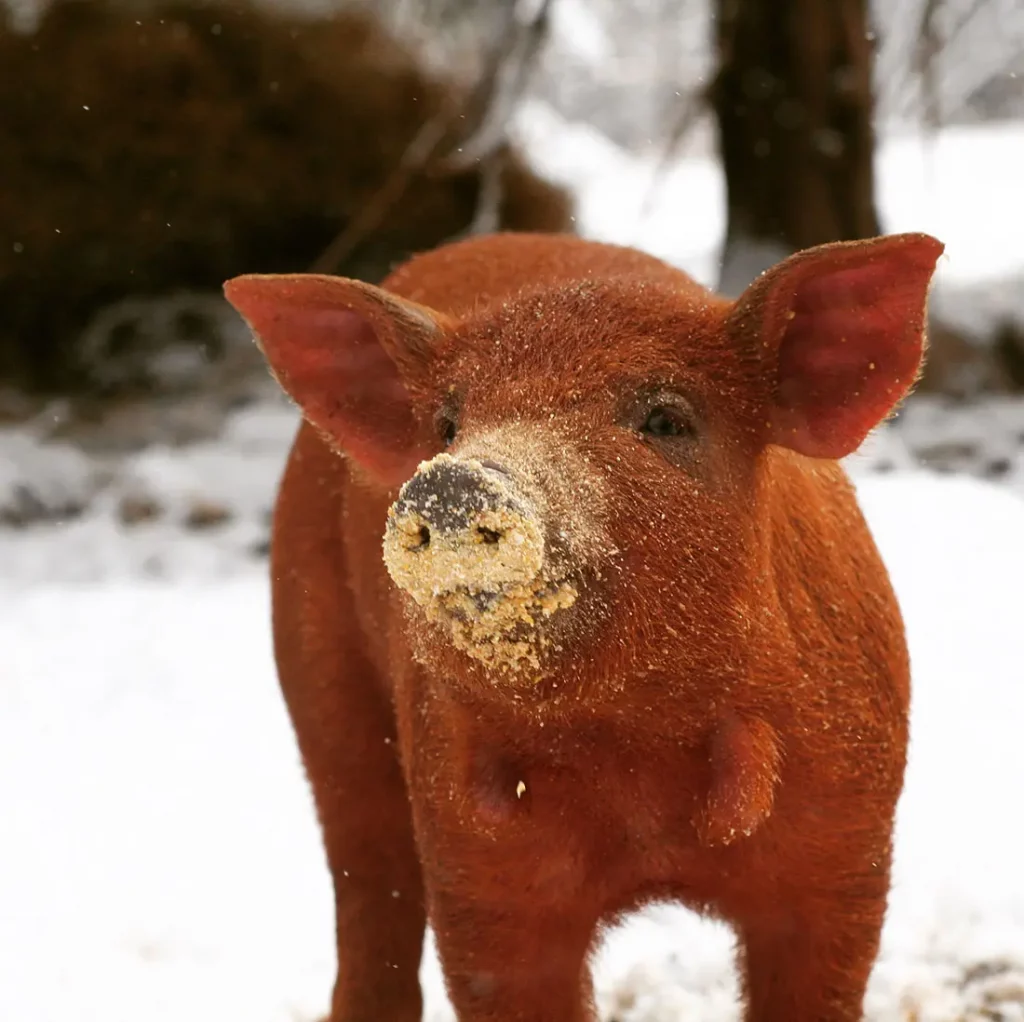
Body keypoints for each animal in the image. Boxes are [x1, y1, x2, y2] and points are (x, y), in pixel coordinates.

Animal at [223, 229, 943, 1022]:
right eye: (446, 425)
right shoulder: (476, 873)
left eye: (666, 419)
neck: (634, 755)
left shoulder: (847, 851)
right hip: (317, 684)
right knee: (367, 890)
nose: (455, 480)